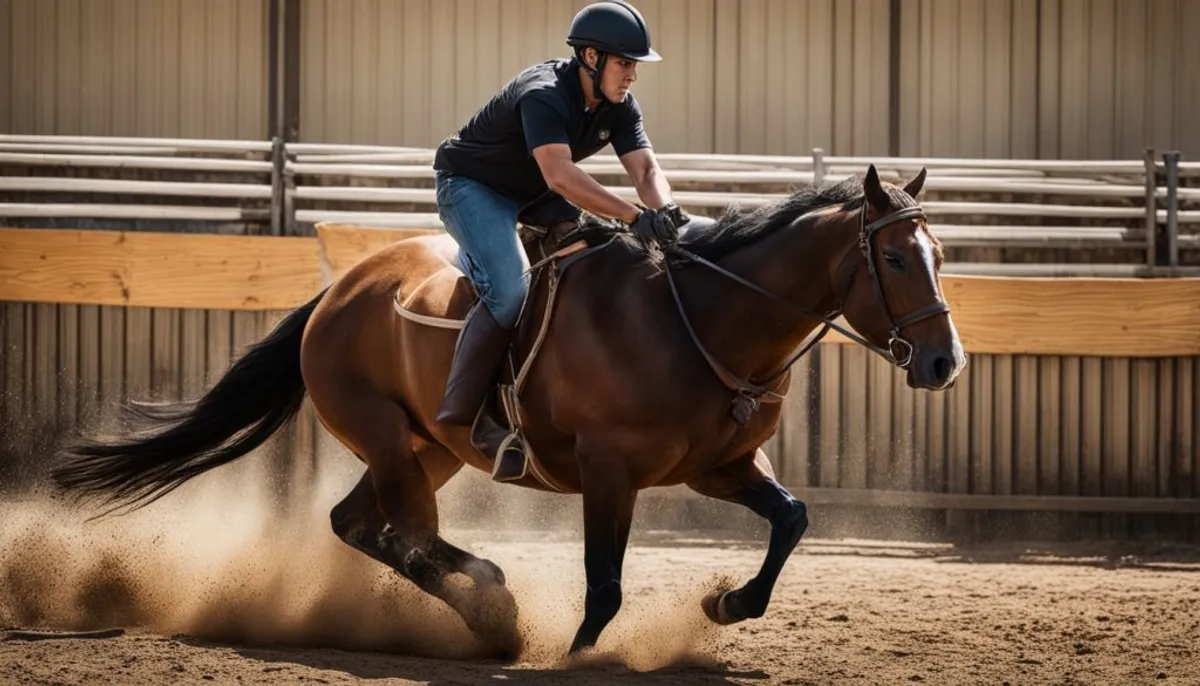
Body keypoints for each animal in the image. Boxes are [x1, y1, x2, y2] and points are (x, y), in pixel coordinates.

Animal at [49, 164, 964, 657]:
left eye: (941, 252)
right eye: (893, 257)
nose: (946, 362)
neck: (698, 317)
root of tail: (335, 294)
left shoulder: (720, 466)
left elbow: (793, 518)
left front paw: (726, 605)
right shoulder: (609, 472)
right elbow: (605, 586)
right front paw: (581, 654)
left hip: (429, 447)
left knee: (363, 526)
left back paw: (490, 592)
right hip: (389, 439)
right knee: (406, 539)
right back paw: (496, 616)